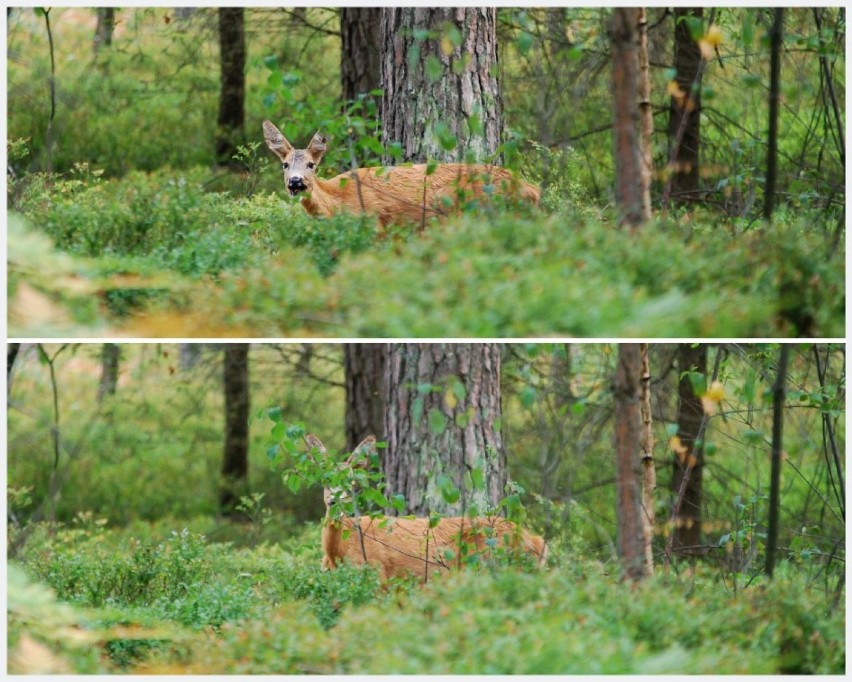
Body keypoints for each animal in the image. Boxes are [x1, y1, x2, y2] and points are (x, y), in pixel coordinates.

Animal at [262, 120, 540, 228]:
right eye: (285, 164)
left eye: (311, 164)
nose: (295, 182)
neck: (337, 200)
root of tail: (533, 190)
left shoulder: (375, 224)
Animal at [310, 432, 548, 580]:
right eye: (325, 479)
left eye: (350, 482)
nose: (335, 501)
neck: (336, 552)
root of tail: (536, 542)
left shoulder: (378, 576)